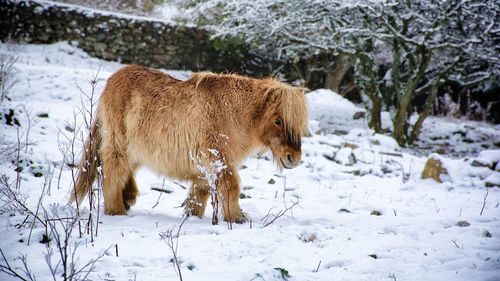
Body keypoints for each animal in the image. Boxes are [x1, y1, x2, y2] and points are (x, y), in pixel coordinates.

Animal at [72, 64, 306, 222]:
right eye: (278, 120)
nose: (293, 158)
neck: (232, 110)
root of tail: (113, 79)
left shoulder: (206, 163)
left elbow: (200, 191)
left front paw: (193, 215)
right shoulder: (217, 155)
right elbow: (231, 186)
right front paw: (237, 217)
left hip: (137, 148)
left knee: (126, 169)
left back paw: (128, 197)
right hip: (118, 142)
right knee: (113, 168)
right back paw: (116, 210)